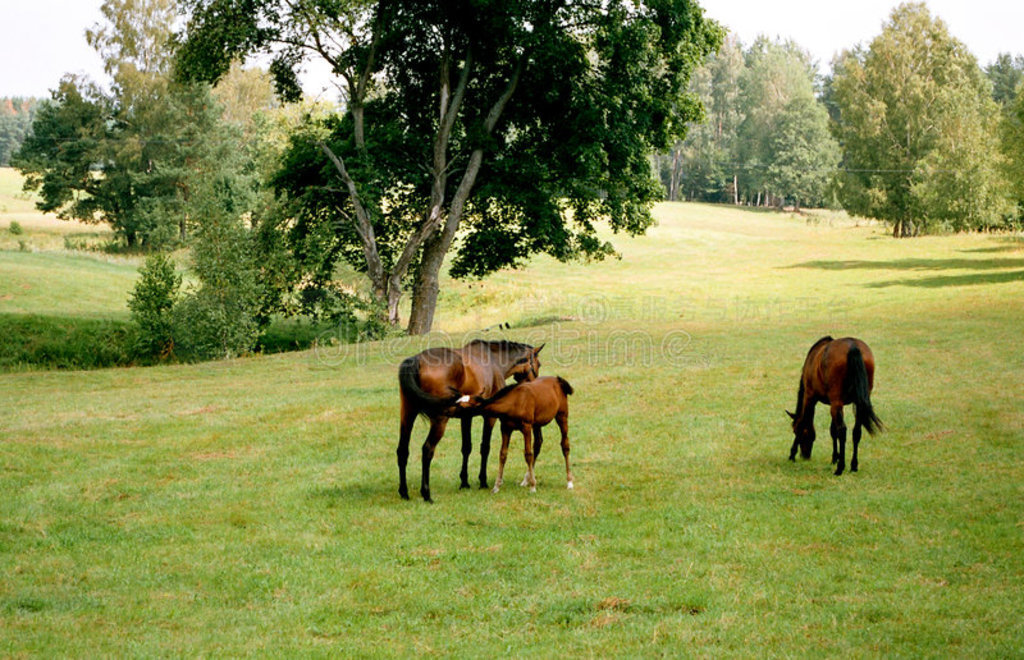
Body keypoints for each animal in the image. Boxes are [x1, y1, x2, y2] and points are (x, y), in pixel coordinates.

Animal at [397, 339, 544, 499]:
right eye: (539, 364)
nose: (536, 383)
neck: (494, 360)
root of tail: (417, 360)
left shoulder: (466, 417)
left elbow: (466, 447)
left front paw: (464, 482)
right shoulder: (490, 417)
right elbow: (485, 447)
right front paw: (483, 481)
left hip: (407, 415)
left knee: (402, 450)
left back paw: (404, 492)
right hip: (439, 421)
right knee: (427, 450)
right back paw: (426, 493)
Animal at [790, 335, 880, 472]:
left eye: (794, 430)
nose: (805, 455)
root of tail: (853, 346)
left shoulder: (809, 398)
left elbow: (804, 421)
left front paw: (792, 454)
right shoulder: (833, 404)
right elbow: (833, 430)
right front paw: (834, 457)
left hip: (835, 402)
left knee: (842, 430)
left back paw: (840, 467)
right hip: (856, 403)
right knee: (856, 432)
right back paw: (853, 465)